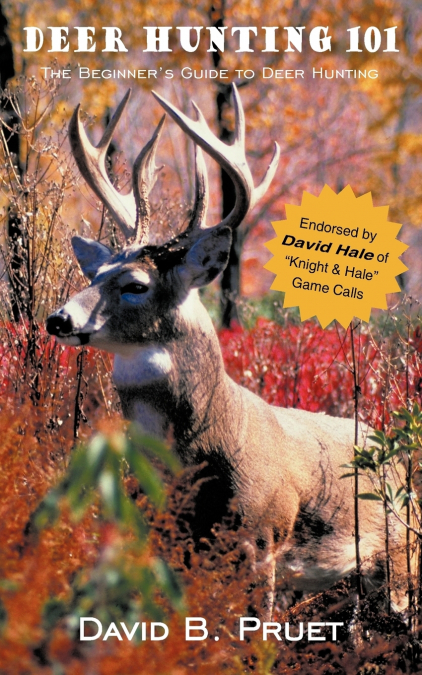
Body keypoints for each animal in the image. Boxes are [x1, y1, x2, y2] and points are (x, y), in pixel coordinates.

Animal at [46, 86, 412, 620]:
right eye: (94, 275)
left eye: (135, 284)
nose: (58, 319)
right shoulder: (166, 540)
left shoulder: (260, 537)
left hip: (402, 548)